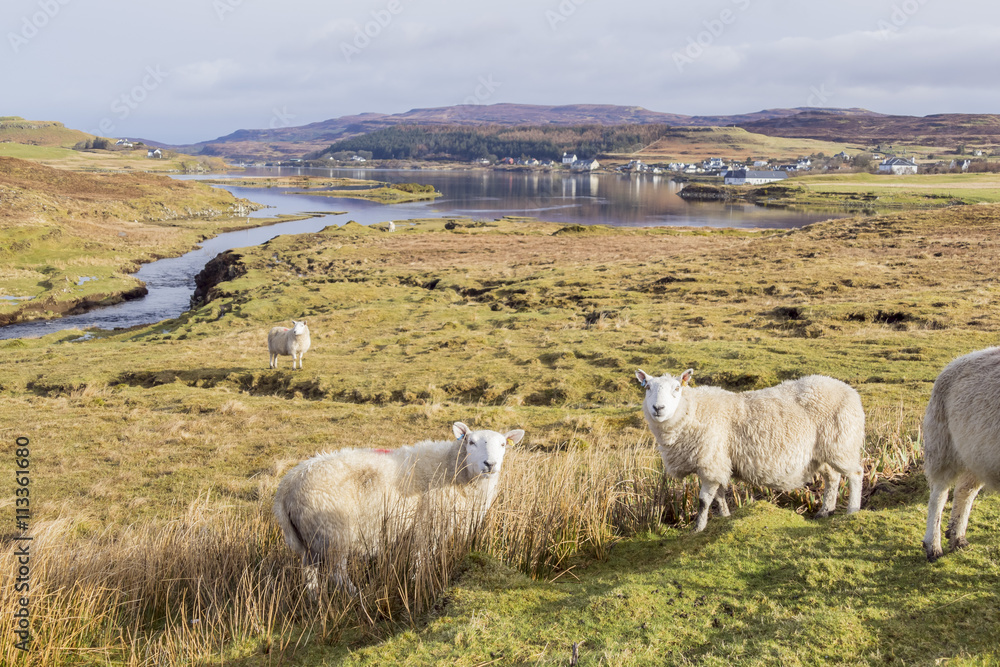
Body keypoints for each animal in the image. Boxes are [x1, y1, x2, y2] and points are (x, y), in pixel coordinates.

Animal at [273, 422, 524, 595]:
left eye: (503, 444)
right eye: (471, 442)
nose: (490, 464)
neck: (452, 468)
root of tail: (286, 488)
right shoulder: (426, 526)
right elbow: (421, 559)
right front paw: (417, 582)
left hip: (308, 539)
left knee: (309, 572)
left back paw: (314, 598)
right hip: (333, 533)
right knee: (337, 574)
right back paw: (357, 595)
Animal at [635, 368, 865, 532]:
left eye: (677, 388)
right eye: (647, 388)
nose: (658, 408)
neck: (694, 410)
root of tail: (850, 391)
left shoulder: (711, 461)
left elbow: (704, 500)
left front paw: (698, 528)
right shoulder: (719, 462)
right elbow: (719, 495)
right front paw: (725, 517)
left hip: (841, 444)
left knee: (856, 473)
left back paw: (852, 510)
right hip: (823, 452)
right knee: (832, 477)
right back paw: (825, 511)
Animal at [922, 347, 1000, 562]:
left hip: (976, 454)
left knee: (964, 491)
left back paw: (957, 537)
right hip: (942, 446)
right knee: (938, 495)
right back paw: (933, 545)